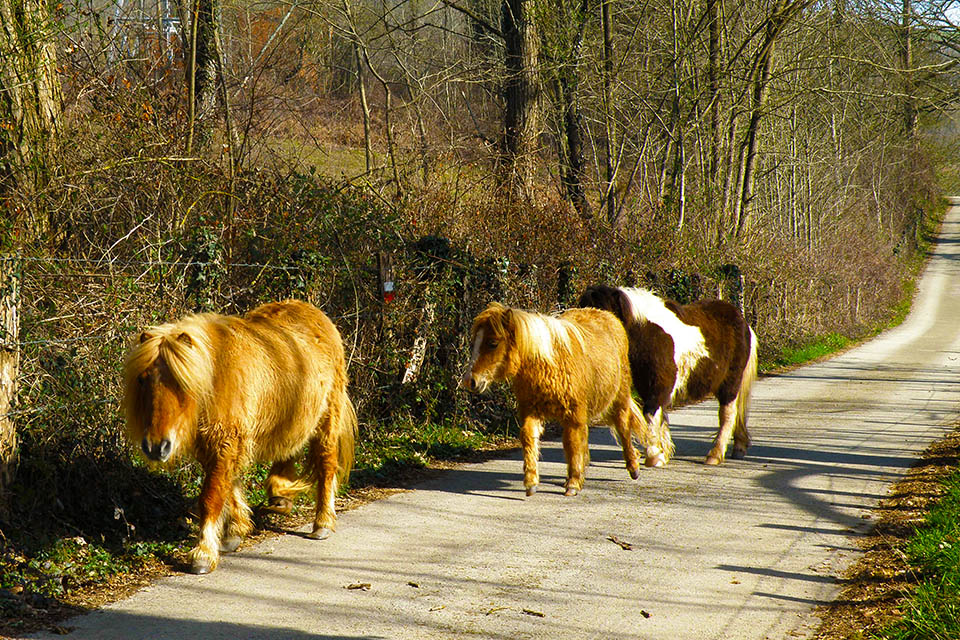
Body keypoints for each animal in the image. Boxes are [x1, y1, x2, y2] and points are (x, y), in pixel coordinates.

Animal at [122, 300, 357, 574]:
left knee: (326, 465)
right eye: (142, 380)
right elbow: (229, 486)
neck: (217, 375)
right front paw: (235, 532)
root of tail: (316, 314)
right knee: (288, 451)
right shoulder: (218, 445)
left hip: (327, 420)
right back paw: (281, 495)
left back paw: (322, 523)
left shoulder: (225, 442)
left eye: (181, 383)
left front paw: (203, 554)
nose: (155, 446)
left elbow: (211, 497)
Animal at [460, 302, 671, 497]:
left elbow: (572, 444)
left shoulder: (573, 417)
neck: (549, 363)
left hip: (619, 398)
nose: (470, 380)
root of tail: (608, 316)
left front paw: (573, 483)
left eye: (493, 343)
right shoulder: (531, 412)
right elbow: (530, 439)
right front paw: (531, 482)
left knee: (623, 427)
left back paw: (633, 466)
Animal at [577, 285, 758, 465]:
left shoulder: (658, 386)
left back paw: (715, 454)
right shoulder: (648, 386)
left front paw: (653, 455)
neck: (647, 334)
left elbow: (650, 414)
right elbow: (661, 417)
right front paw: (662, 454)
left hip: (730, 384)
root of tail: (744, 323)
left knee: (728, 415)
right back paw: (738, 447)